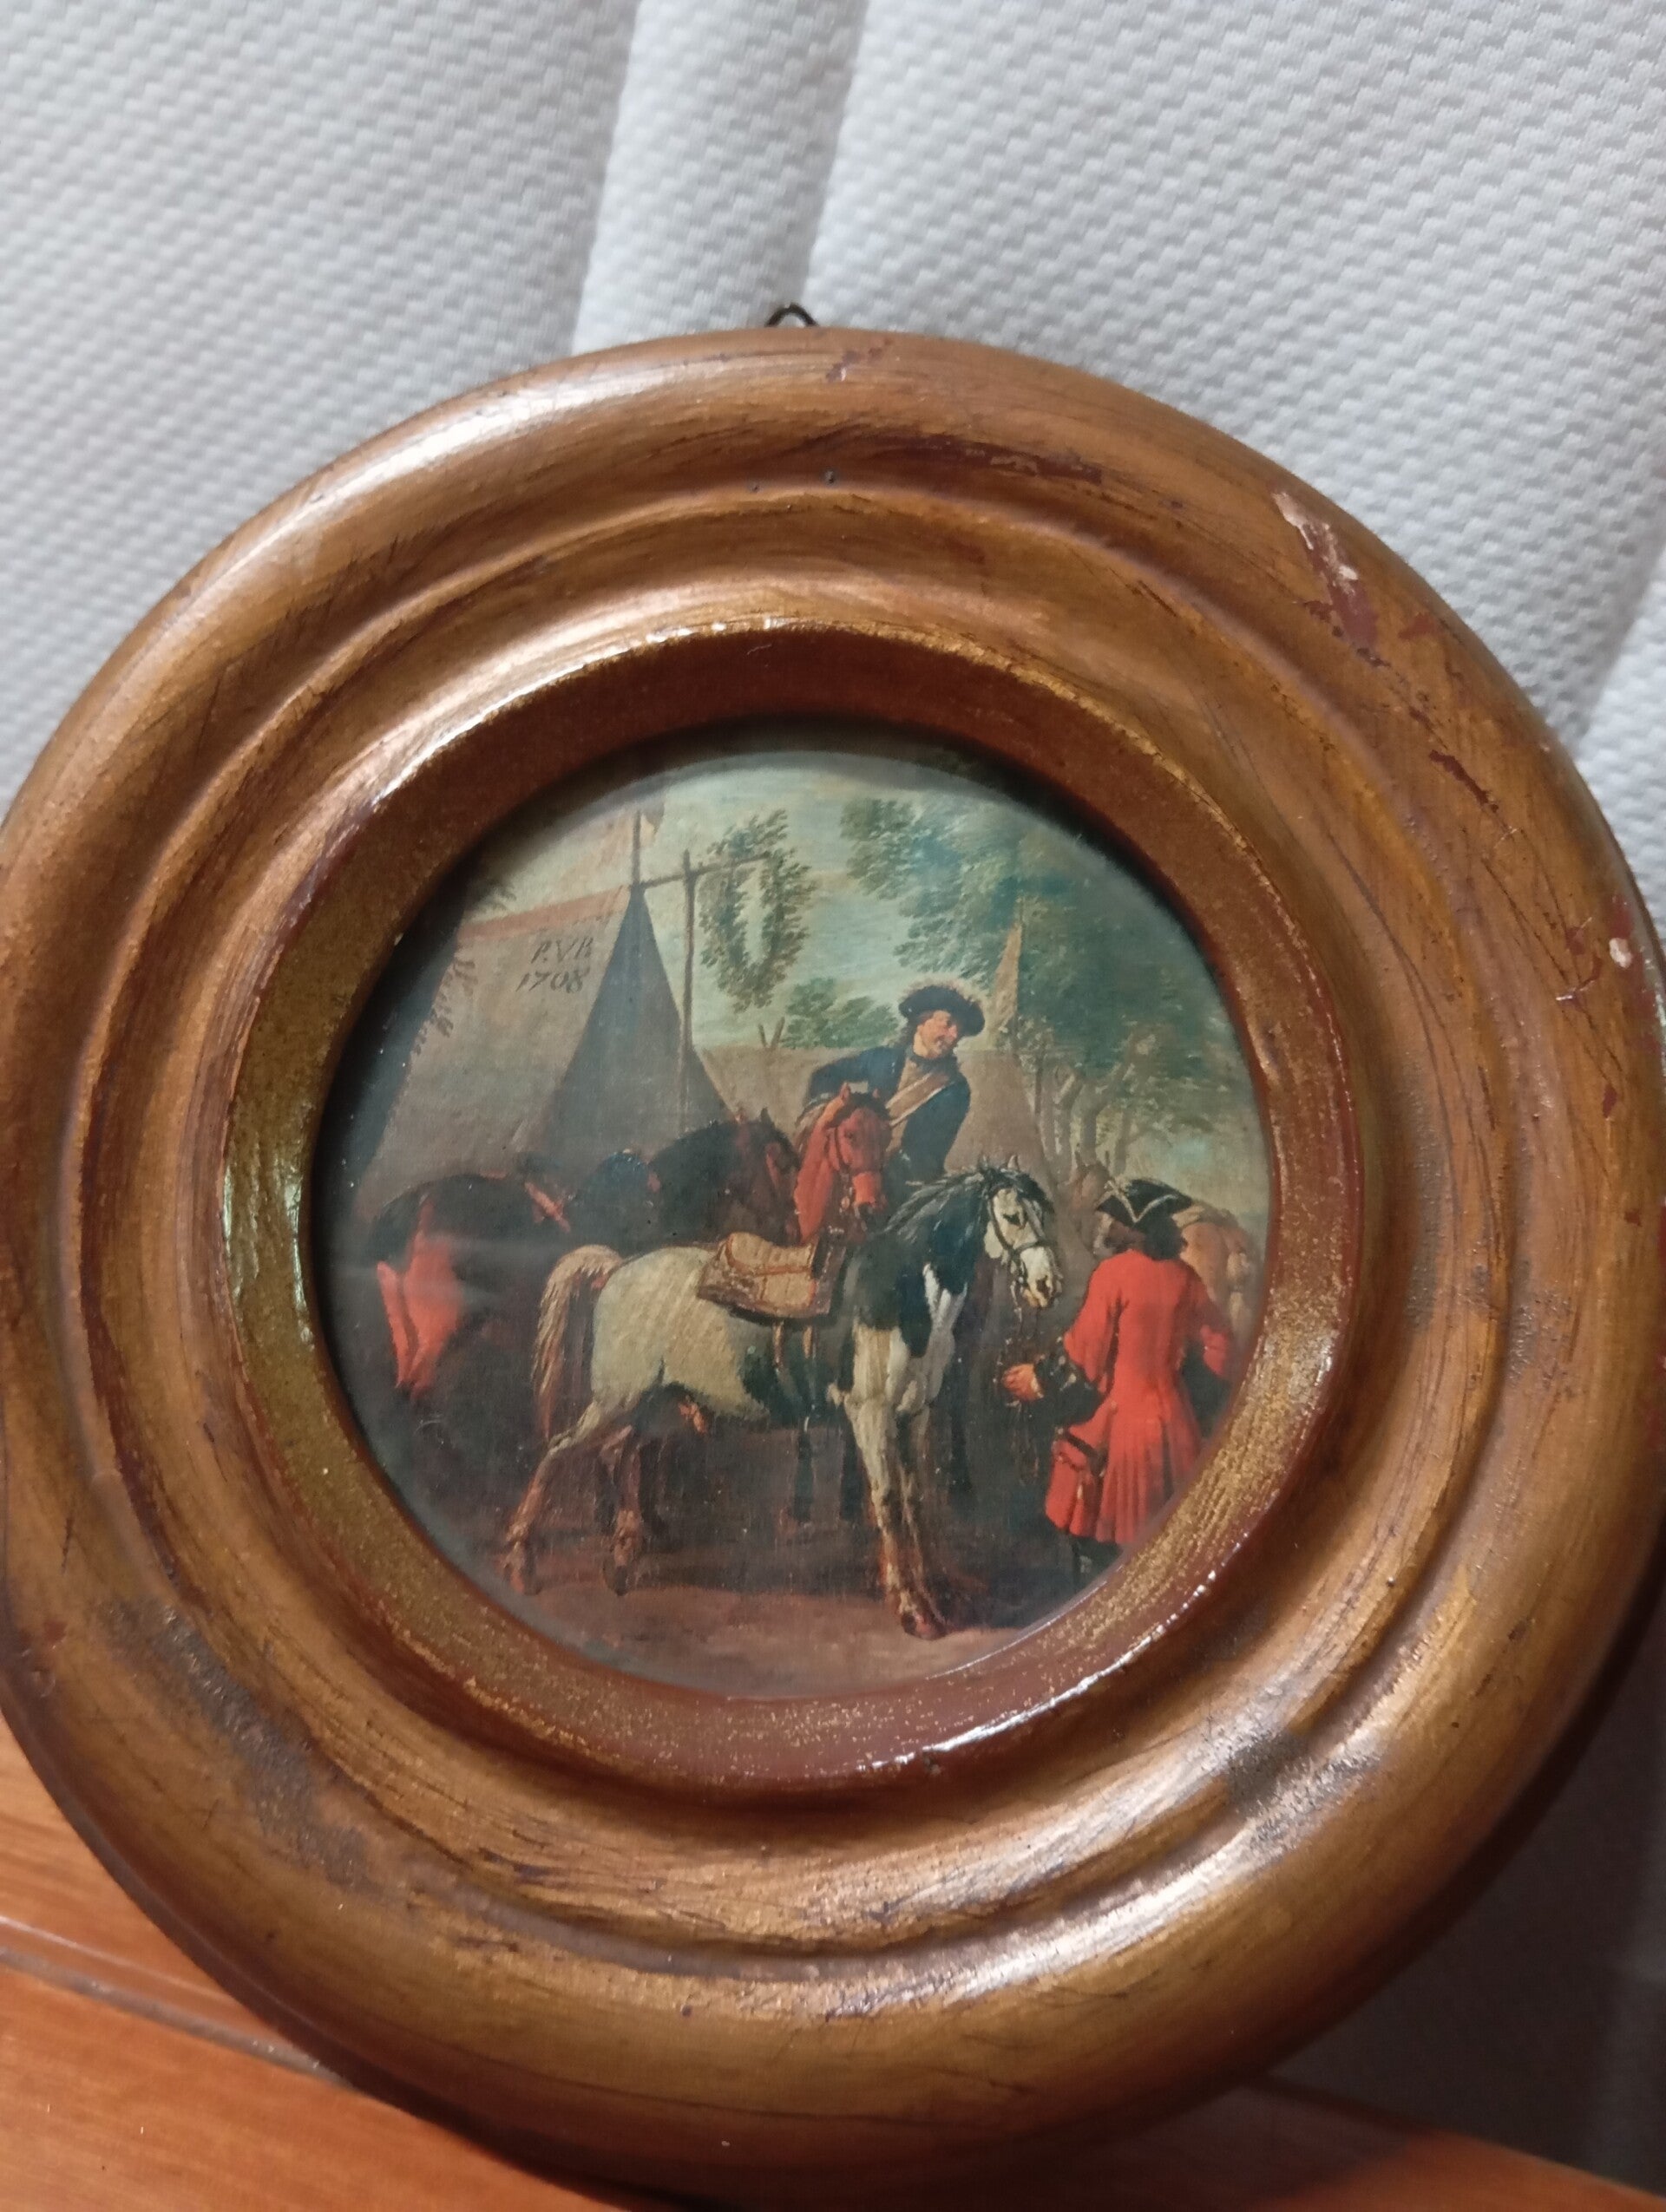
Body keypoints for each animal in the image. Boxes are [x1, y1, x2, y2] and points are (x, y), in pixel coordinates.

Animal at [502, 1165, 1063, 1638]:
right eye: (1012, 1216)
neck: (895, 1297)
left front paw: (937, 1592)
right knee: (559, 1452)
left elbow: (917, 1499)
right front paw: (911, 1607)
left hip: (654, 1404)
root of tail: (618, 1269)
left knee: (619, 1454)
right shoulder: (871, 1415)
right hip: (618, 1398)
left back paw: (620, 1563)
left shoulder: (914, 1416)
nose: (1048, 1285)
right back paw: (521, 1563)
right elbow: (887, 1502)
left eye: (1043, 1215)